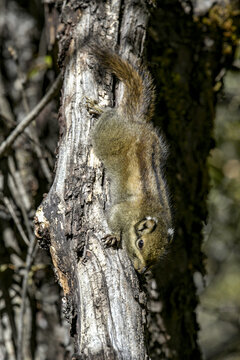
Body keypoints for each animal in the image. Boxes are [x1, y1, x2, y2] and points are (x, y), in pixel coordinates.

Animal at [89, 47, 173, 272]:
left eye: (158, 257)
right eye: (141, 243)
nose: (141, 270)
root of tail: (133, 120)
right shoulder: (122, 211)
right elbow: (113, 219)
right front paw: (114, 236)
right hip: (105, 134)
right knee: (109, 115)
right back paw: (99, 110)